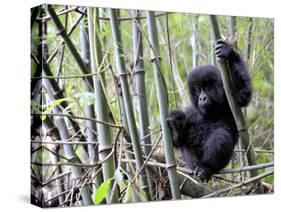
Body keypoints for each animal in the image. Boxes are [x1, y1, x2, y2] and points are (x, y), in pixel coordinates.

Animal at [167, 39, 250, 182]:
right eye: (198, 89)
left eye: (207, 88)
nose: (202, 97)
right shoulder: (191, 112)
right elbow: (178, 141)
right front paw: (175, 124)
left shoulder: (231, 102)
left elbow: (243, 93)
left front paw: (229, 53)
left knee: (220, 136)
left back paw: (206, 168)